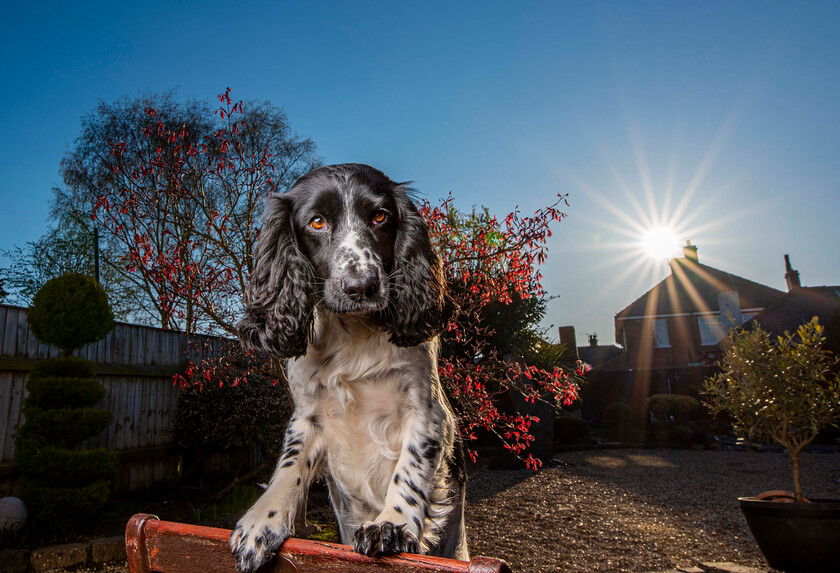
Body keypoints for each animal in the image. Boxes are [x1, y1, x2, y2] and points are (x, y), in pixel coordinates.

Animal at [228, 163, 466, 568]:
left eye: (380, 217)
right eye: (317, 222)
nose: (361, 286)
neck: (353, 333)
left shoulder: (428, 412)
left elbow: (410, 469)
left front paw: (392, 523)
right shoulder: (308, 415)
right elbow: (289, 467)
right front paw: (261, 522)